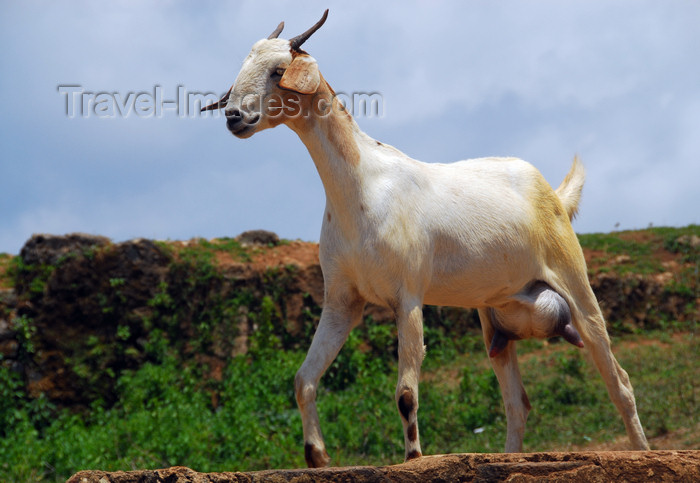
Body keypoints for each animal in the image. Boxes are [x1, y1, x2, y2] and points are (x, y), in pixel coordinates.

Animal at [202, 9, 652, 466]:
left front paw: (414, 456)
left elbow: (405, 394)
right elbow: (303, 380)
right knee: (517, 403)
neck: (362, 186)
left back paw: (642, 450)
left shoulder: (409, 296)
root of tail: (554, 195)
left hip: (574, 282)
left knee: (619, 381)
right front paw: (317, 457)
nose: (234, 116)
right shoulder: (342, 300)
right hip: (495, 319)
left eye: (278, 71)